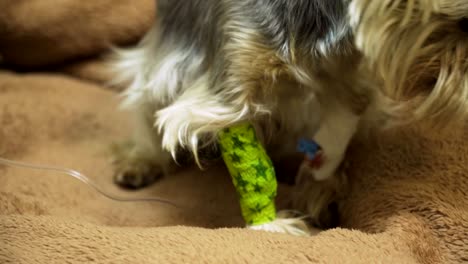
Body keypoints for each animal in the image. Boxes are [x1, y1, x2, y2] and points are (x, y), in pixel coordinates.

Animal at [110, 0, 468, 235]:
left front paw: (319, 188)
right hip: (164, 56)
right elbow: (242, 148)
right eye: (463, 22)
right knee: (145, 98)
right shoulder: (230, 82)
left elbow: (341, 124)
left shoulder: (343, 76)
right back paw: (140, 161)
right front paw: (271, 225)